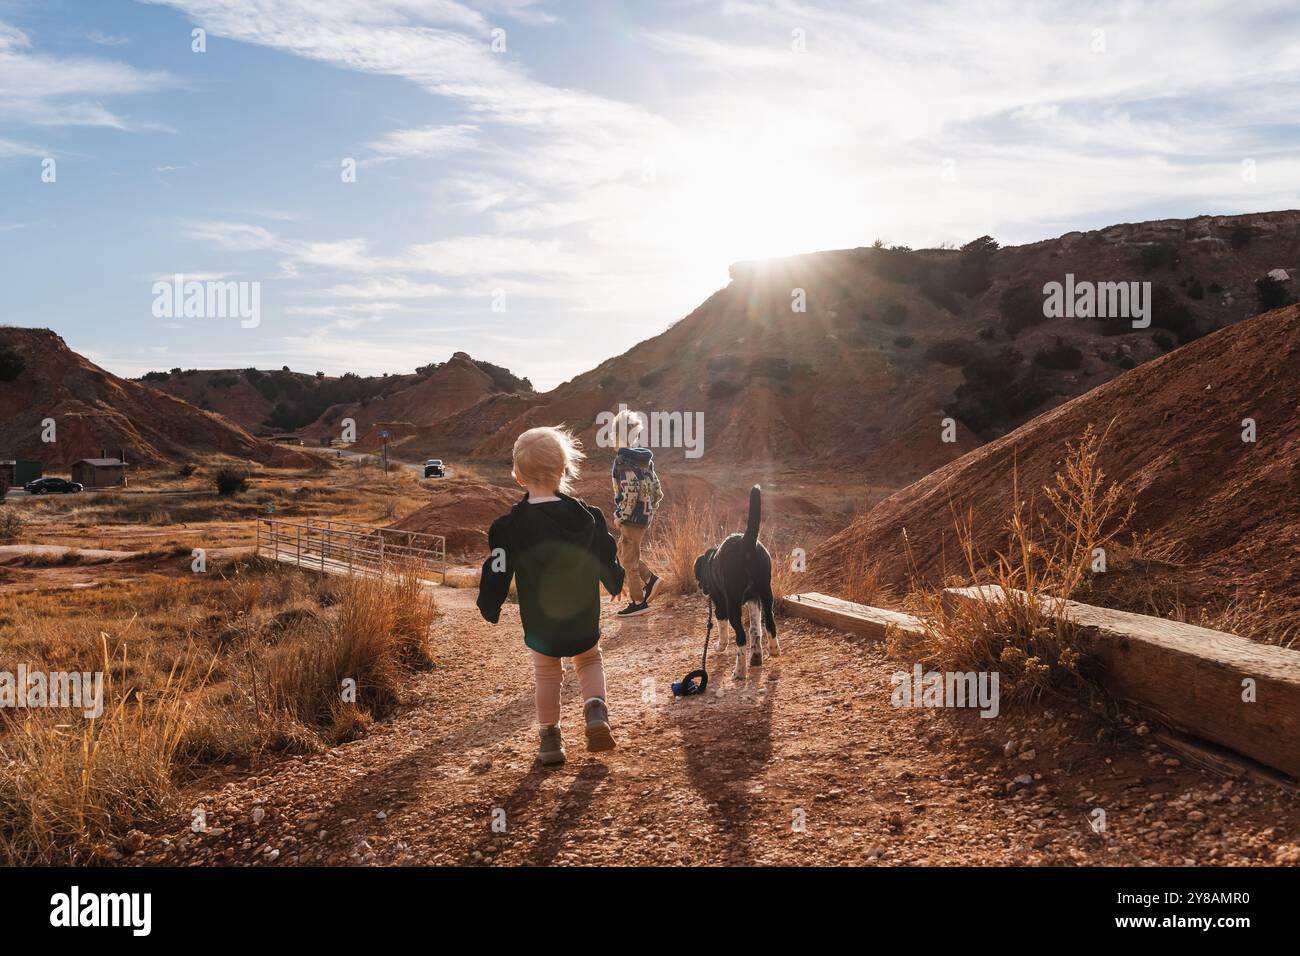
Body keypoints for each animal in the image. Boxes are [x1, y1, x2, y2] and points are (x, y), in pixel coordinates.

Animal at [696, 486, 774, 681]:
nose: (702, 589)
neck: (711, 561)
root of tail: (746, 543)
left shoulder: (720, 606)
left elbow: (723, 631)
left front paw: (719, 646)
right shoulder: (754, 600)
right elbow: (755, 630)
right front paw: (756, 656)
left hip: (732, 606)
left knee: (741, 637)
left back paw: (739, 671)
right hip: (767, 594)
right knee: (769, 623)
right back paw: (773, 650)